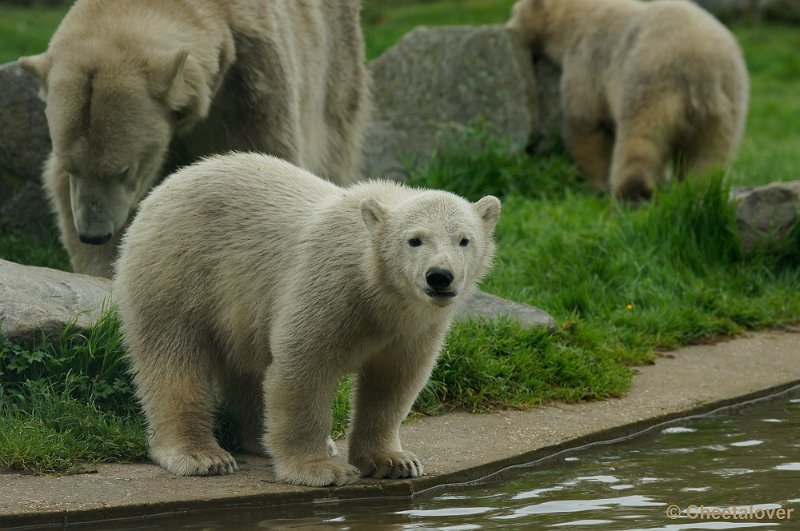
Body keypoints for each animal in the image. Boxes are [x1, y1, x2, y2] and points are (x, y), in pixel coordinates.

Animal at [112, 153, 500, 486]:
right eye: (415, 240)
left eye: (464, 240)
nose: (440, 276)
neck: (378, 289)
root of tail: (164, 186)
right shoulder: (329, 288)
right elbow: (304, 367)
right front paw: (320, 468)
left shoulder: (411, 327)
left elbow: (394, 381)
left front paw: (393, 461)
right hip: (178, 269)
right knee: (174, 359)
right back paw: (202, 455)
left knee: (246, 368)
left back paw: (261, 439)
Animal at [510, 0, 748, 202]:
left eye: (514, 11)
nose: (510, 26)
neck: (579, 17)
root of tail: (701, 70)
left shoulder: (586, 59)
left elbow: (586, 123)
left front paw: (596, 185)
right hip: (728, 104)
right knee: (710, 156)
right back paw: (701, 191)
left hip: (650, 85)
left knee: (639, 140)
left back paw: (633, 194)